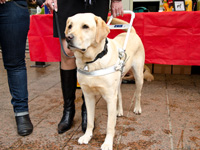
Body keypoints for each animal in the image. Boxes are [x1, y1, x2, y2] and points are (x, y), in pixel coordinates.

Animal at [65, 13, 145, 150]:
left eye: (85, 26)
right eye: (70, 26)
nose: (68, 37)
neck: (91, 62)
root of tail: (132, 33)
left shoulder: (109, 97)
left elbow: (110, 125)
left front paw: (107, 143)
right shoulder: (88, 96)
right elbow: (90, 121)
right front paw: (87, 136)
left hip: (138, 76)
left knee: (138, 93)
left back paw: (137, 108)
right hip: (118, 82)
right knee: (120, 95)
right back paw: (119, 111)